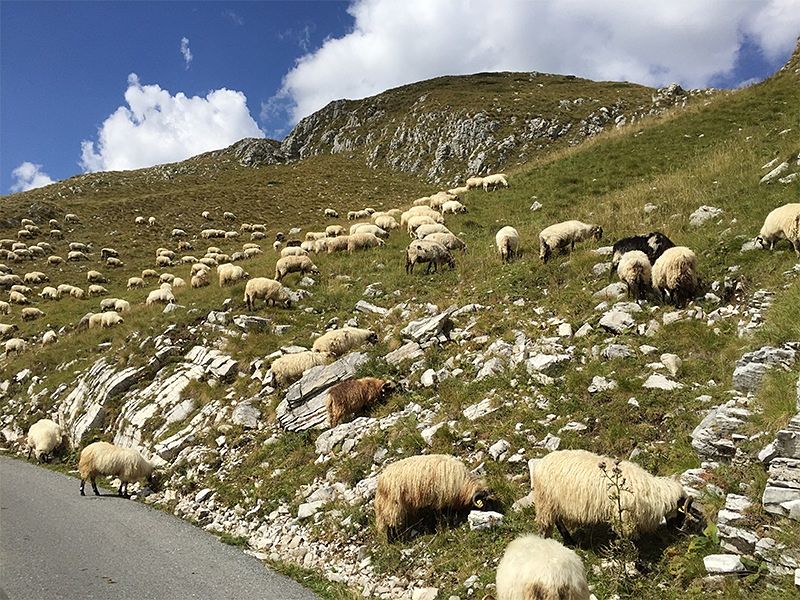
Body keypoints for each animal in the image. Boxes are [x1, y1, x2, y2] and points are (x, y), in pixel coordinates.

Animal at [532, 448, 688, 540]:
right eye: (681, 512)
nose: (678, 532)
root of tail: (541, 462)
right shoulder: (624, 516)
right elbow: (626, 539)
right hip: (545, 501)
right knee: (548, 524)